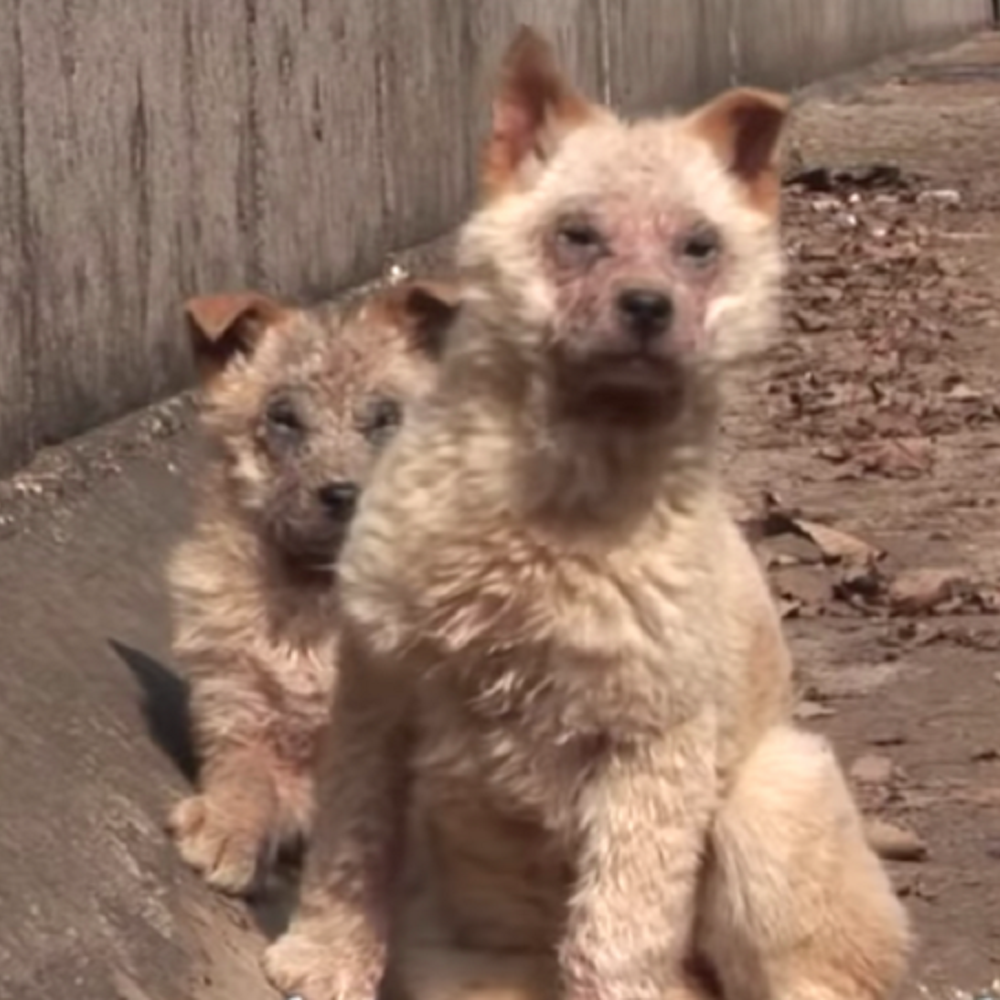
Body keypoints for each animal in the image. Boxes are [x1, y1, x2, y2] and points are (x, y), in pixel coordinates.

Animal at [165, 278, 460, 896]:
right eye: (283, 417)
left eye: (385, 417)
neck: (316, 602)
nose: (342, 494)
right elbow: (246, 777)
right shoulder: (236, 708)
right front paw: (224, 827)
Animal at [262, 27, 912, 1000]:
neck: (561, 491)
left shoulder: (651, 745)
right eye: (578, 234)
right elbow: (350, 840)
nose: (647, 307)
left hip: (773, 797)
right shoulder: (379, 693)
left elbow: (618, 922)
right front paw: (321, 958)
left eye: (698, 246)